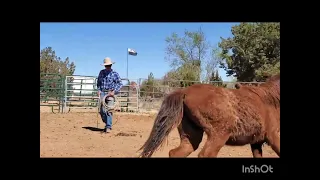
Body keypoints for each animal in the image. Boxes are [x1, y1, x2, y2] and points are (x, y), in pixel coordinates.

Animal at [139, 74, 278, 157]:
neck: (272, 98)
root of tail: (184, 92)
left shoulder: (256, 142)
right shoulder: (274, 137)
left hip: (191, 137)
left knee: (175, 153)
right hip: (218, 136)